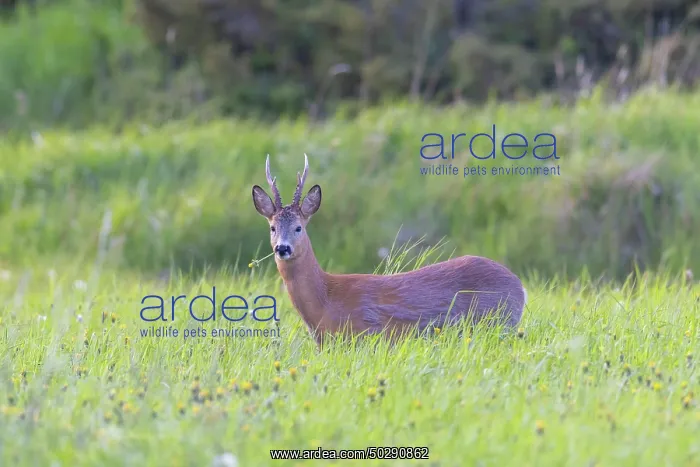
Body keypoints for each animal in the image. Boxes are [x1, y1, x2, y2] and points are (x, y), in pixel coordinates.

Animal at [251, 154, 527, 347]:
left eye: (299, 227)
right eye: (273, 227)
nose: (282, 248)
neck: (326, 299)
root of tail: (520, 287)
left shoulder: (367, 333)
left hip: (500, 320)